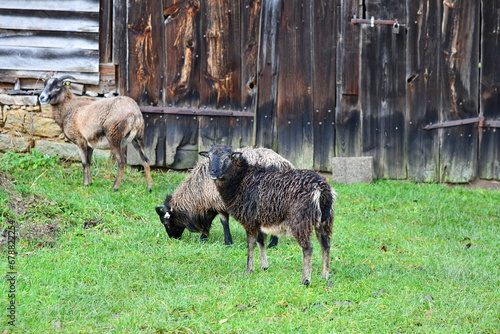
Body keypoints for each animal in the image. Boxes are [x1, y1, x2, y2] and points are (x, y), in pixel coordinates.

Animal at [154, 147, 292, 247]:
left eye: (165, 222)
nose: (173, 239)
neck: (196, 192)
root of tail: (285, 163)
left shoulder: (218, 203)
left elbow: (223, 223)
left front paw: (227, 242)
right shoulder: (211, 203)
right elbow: (209, 220)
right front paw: (204, 238)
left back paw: (272, 244)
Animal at [198, 145, 336, 286]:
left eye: (227, 157)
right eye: (209, 156)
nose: (213, 171)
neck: (240, 180)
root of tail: (321, 188)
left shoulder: (249, 220)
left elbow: (251, 244)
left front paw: (249, 269)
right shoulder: (260, 220)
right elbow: (261, 241)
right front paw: (263, 267)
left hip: (300, 220)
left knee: (308, 248)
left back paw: (305, 280)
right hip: (325, 221)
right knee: (325, 245)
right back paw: (324, 275)